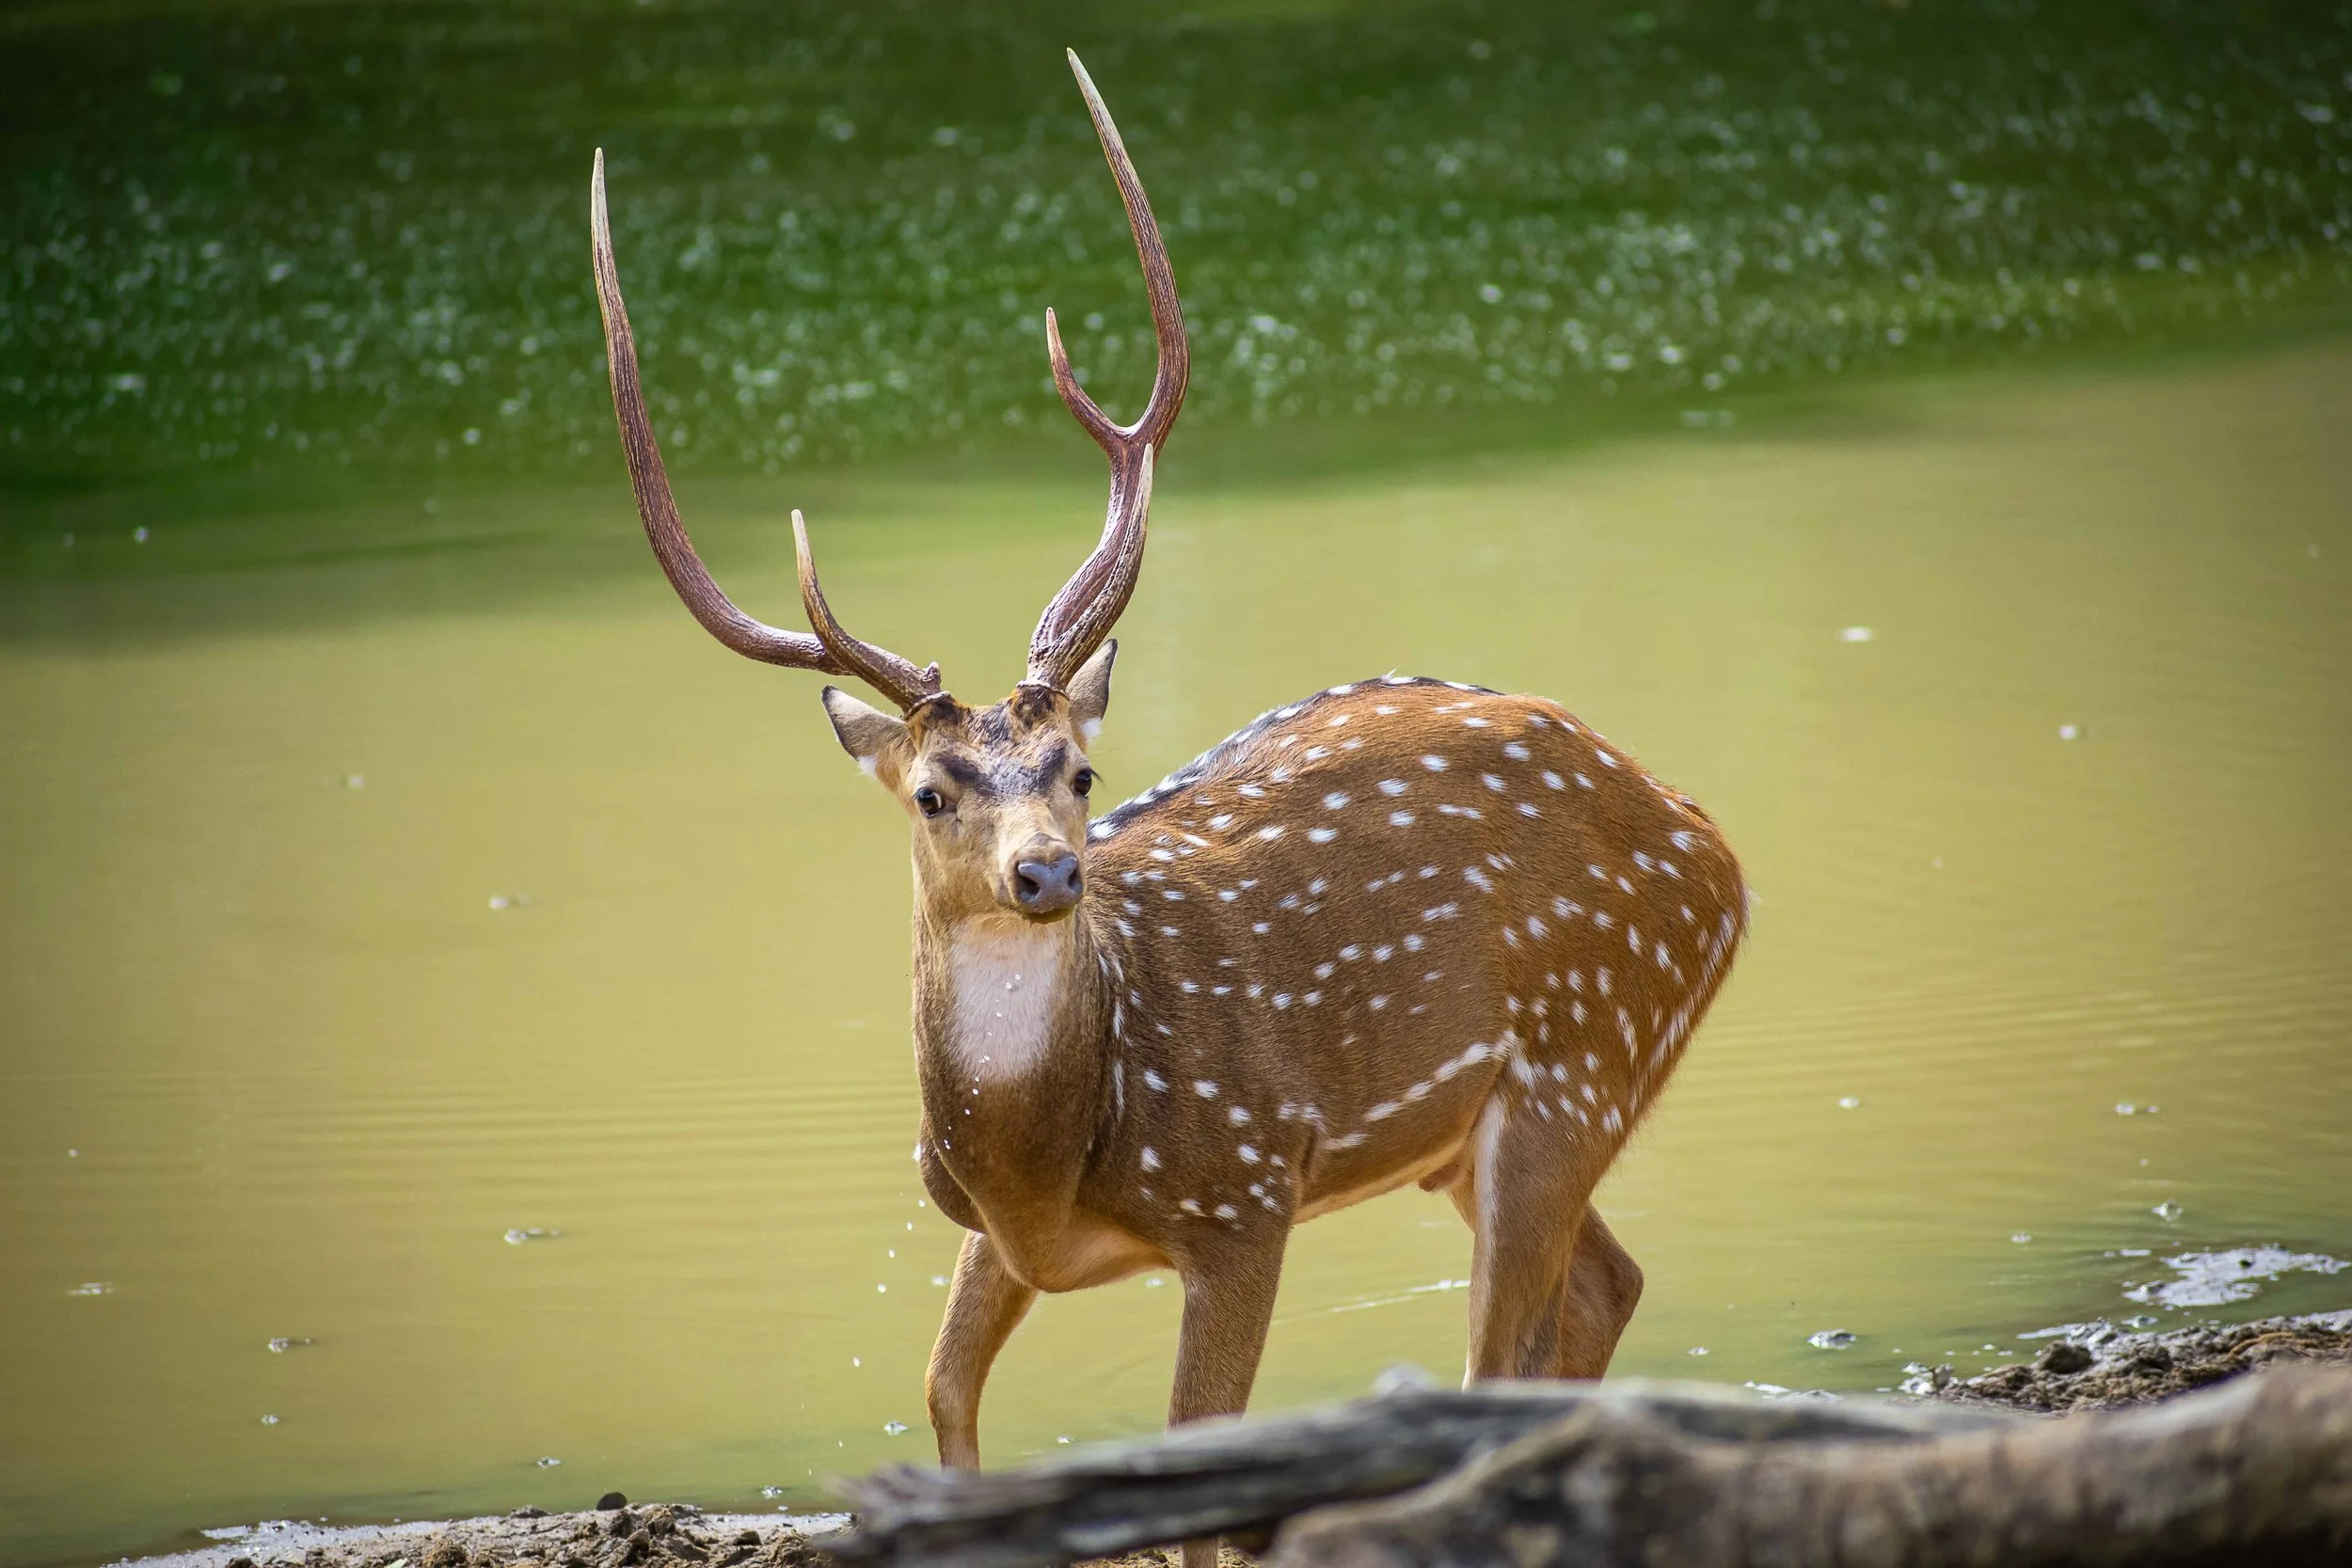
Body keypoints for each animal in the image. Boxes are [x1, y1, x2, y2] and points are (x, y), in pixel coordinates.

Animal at [591, 52, 1748, 1568]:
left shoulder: (1246, 1184)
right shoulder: (975, 1220)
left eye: (1077, 768)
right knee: (1606, 1286)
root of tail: (1715, 849)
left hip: (1583, 1051)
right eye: (932, 789)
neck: (1055, 1152)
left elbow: (1201, 1453)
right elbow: (943, 1392)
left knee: (1504, 1348)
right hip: (1481, 1123)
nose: (1047, 875)